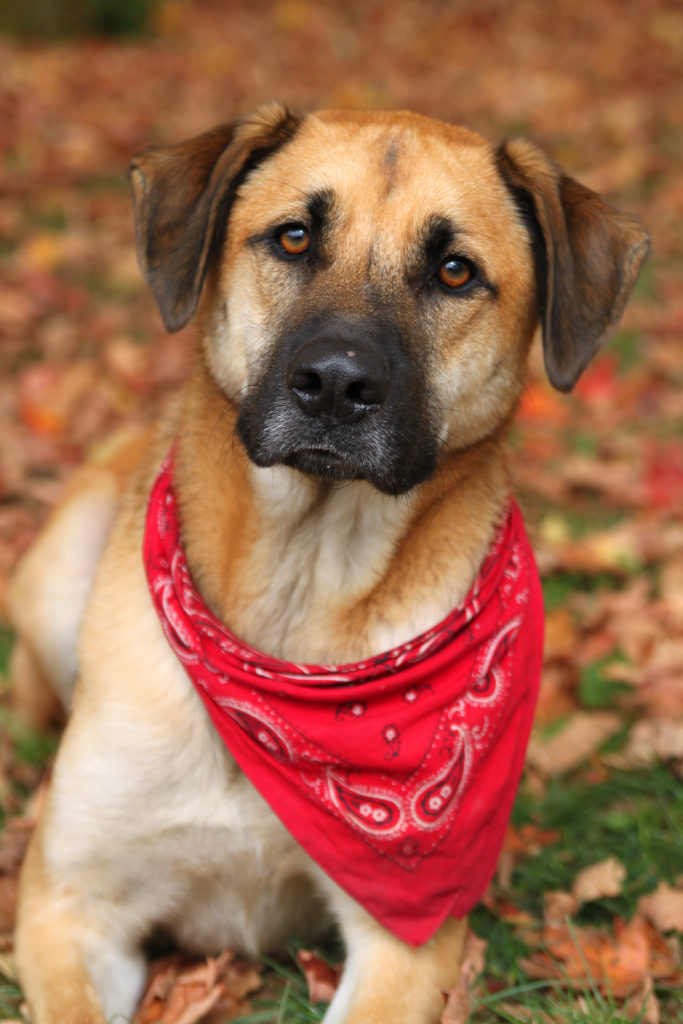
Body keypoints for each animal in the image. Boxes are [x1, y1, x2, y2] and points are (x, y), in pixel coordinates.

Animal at [7, 105, 651, 1024]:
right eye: (293, 237)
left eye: (454, 271)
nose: (336, 384)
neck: (297, 598)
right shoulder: (67, 906)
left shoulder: (403, 943)